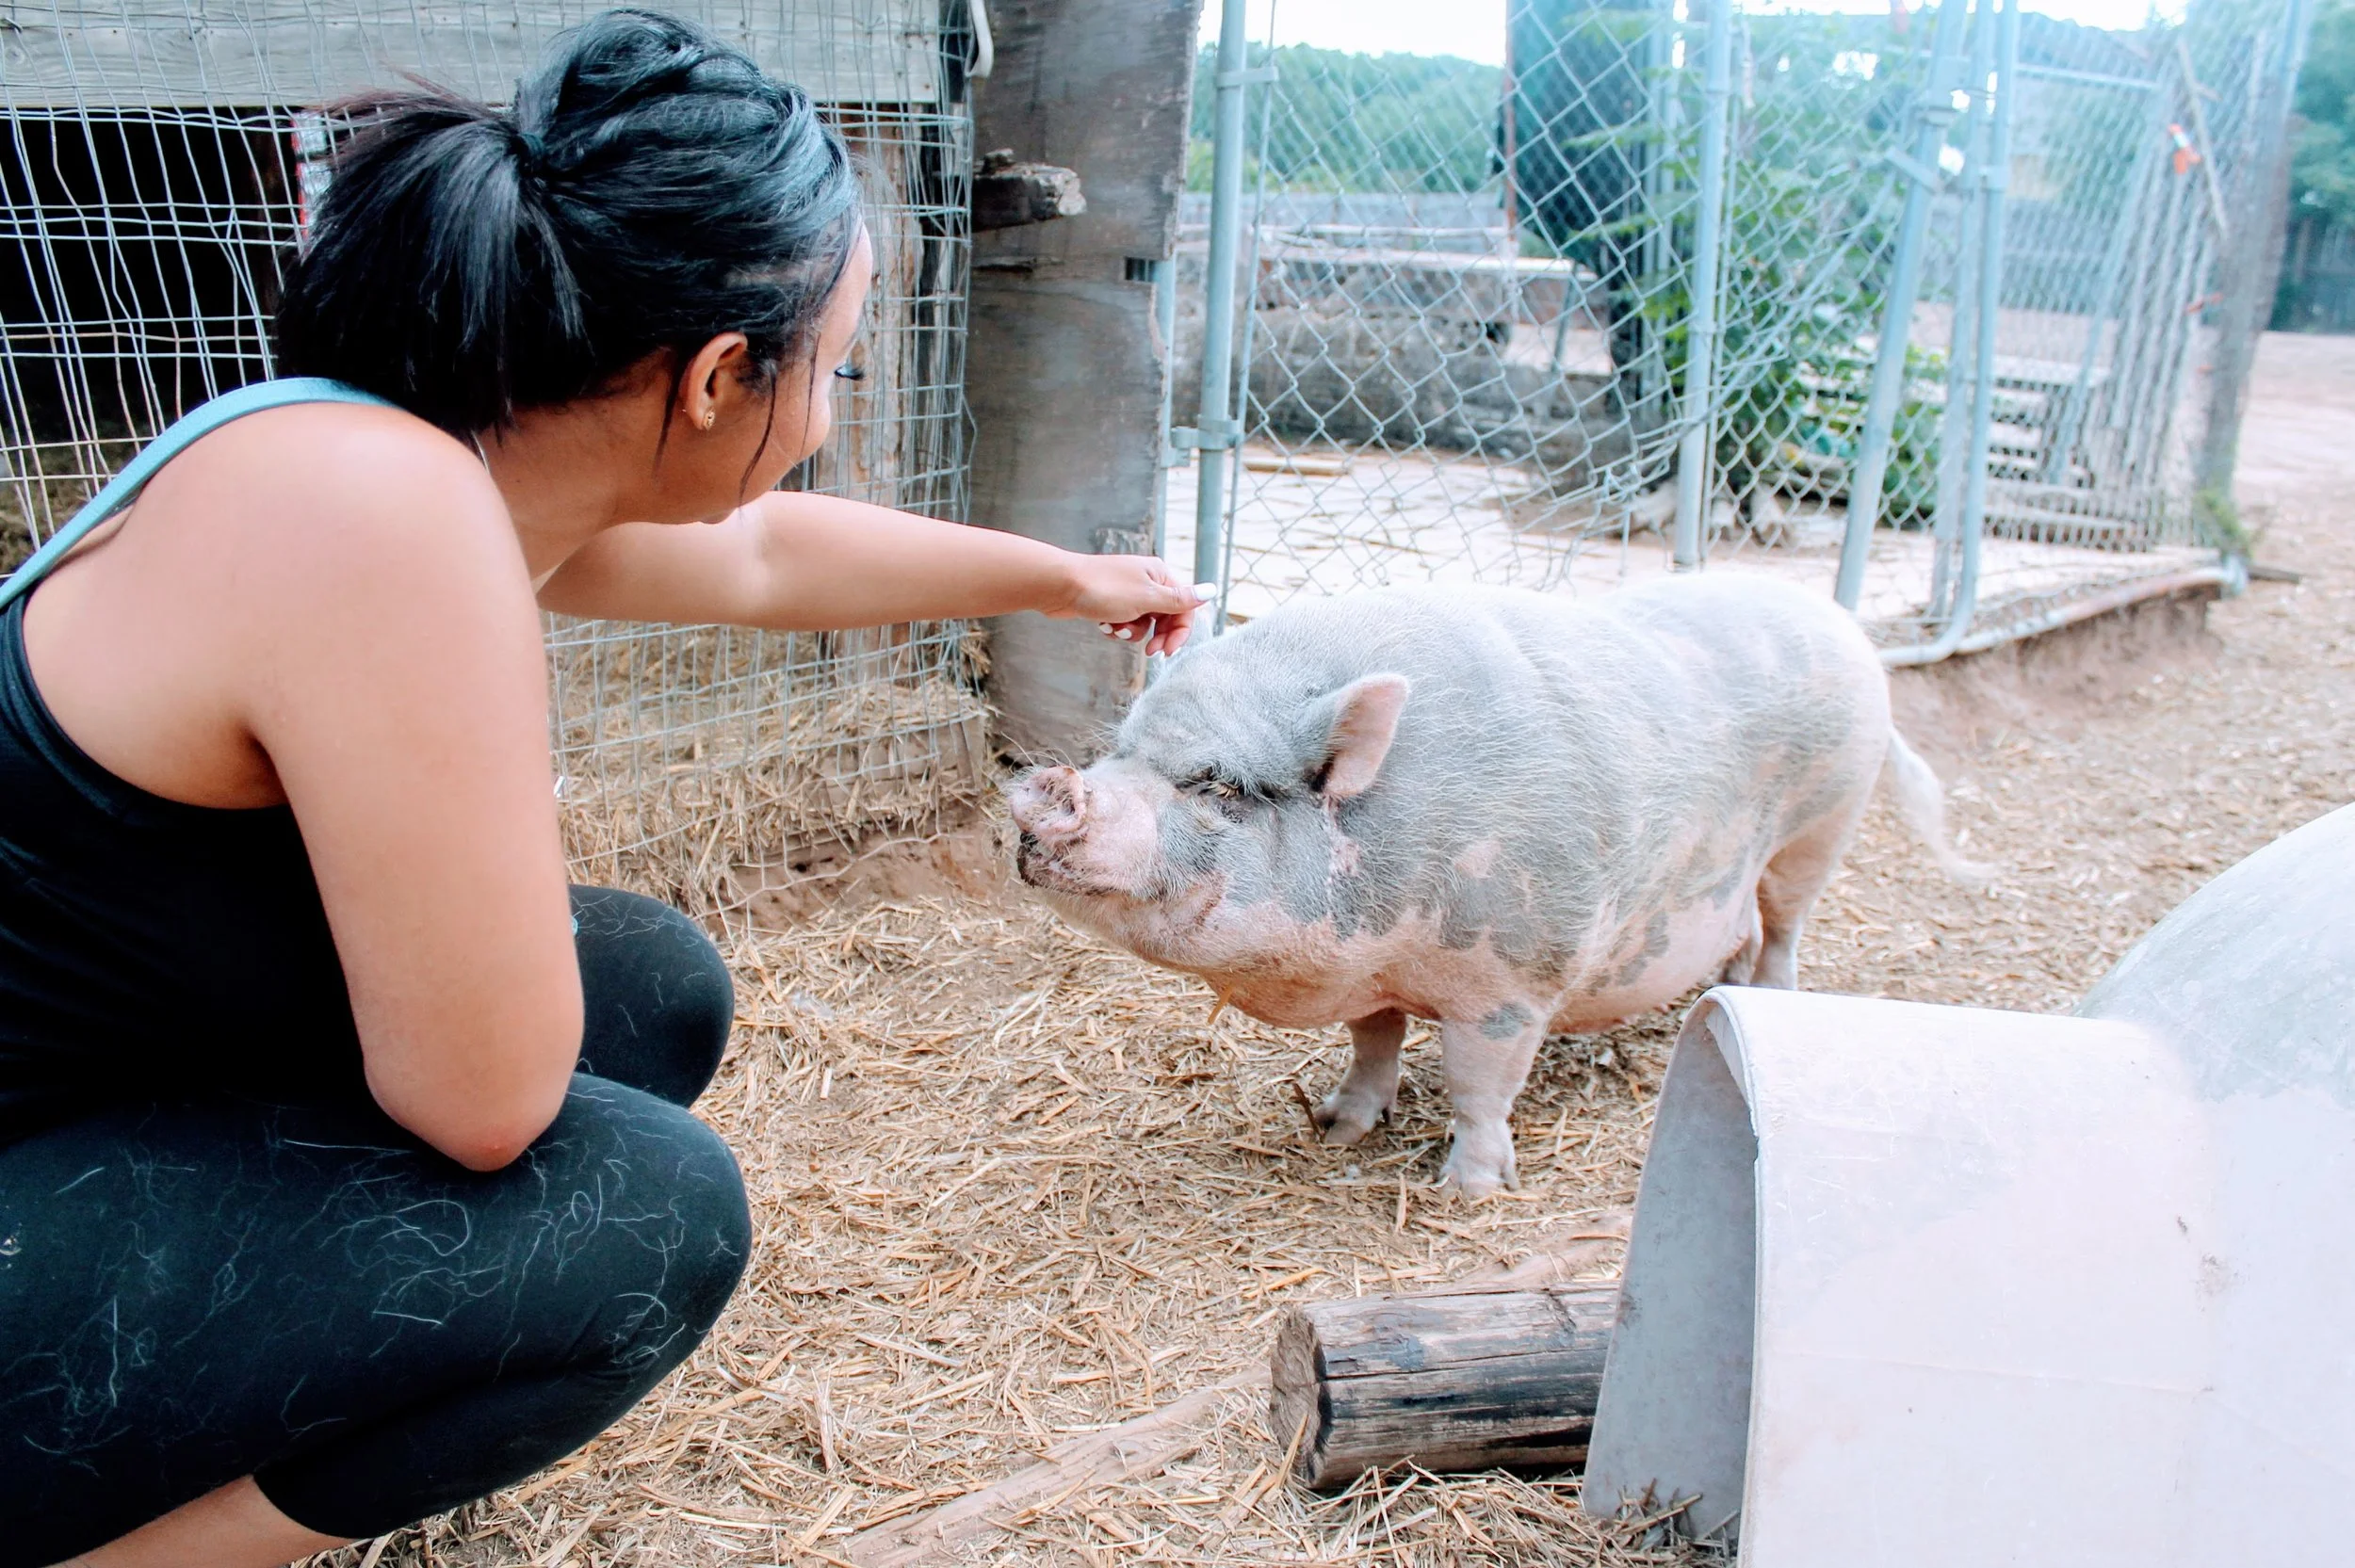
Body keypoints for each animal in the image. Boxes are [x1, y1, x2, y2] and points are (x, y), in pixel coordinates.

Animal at [1006, 574, 1990, 1199]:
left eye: (1217, 784)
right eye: (1122, 750)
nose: (1049, 787)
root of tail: (1848, 627)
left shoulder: (1513, 982)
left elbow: (1482, 1085)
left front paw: (1469, 1190)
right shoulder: (1376, 971)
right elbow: (1373, 1044)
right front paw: (1335, 1125)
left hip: (1825, 822)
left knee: (1786, 924)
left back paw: (1765, 995)